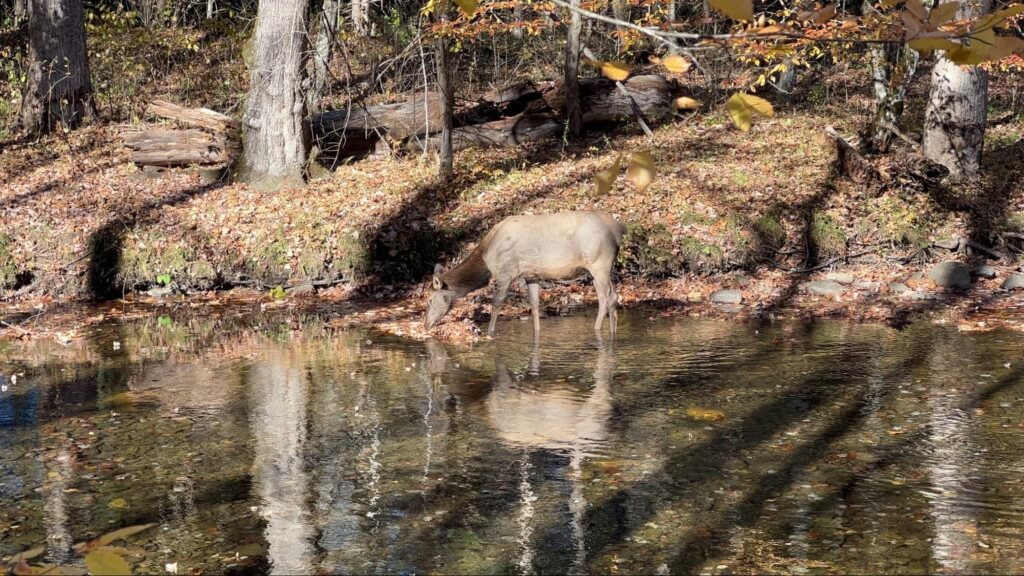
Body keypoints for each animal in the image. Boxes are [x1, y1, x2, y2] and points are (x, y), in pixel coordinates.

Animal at [421, 210, 622, 336]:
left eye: (430, 300)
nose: (425, 325)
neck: (486, 260)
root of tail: (619, 231)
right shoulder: (531, 275)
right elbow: (534, 304)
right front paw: (537, 332)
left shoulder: (505, 271)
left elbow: (496, 303)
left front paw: (490, 333)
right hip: (605, 266)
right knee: (613, 296)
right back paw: (613, 332)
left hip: (598, 263)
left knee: (604, 299)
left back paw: (597, 330)